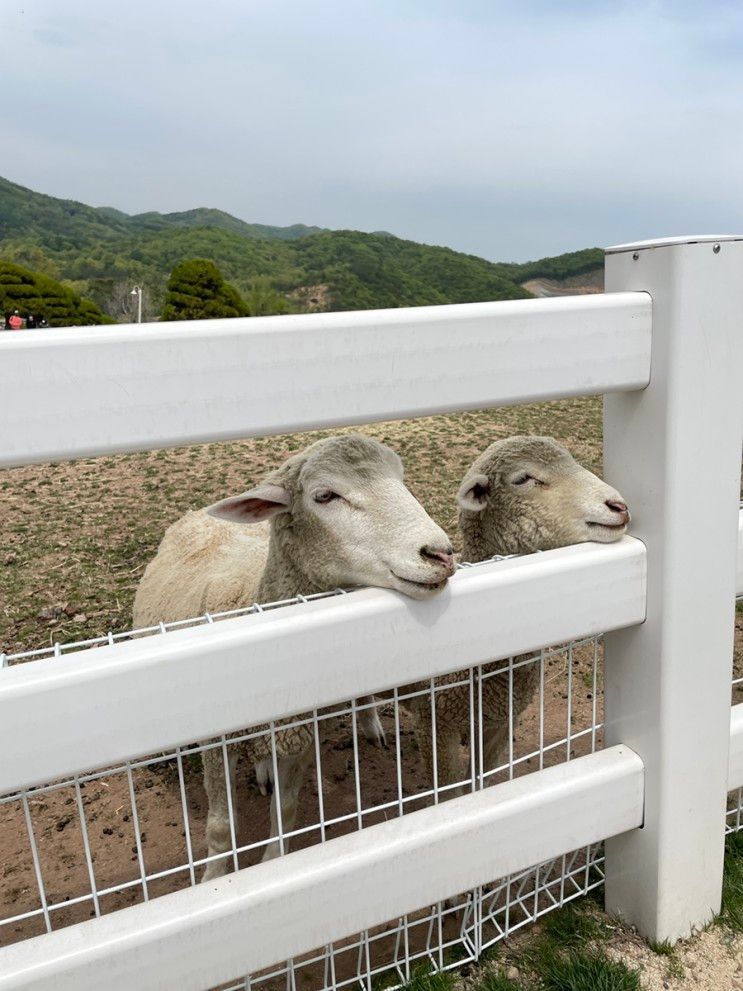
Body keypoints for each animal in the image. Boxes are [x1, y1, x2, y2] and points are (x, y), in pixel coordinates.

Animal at [136, 434, 456, 876]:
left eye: (401, 479)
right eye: (324, 495)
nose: (440, 554)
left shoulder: (302, 737)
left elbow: (285, 812)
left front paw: (274, 865)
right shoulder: (217, 744)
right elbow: (220, 828)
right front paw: (214, 879)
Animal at [406, 438, 628, 796]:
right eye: (523, 478)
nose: (618, 506)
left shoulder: (500, 721)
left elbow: (480, 778)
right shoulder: (436, 724)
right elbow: (449, 792)